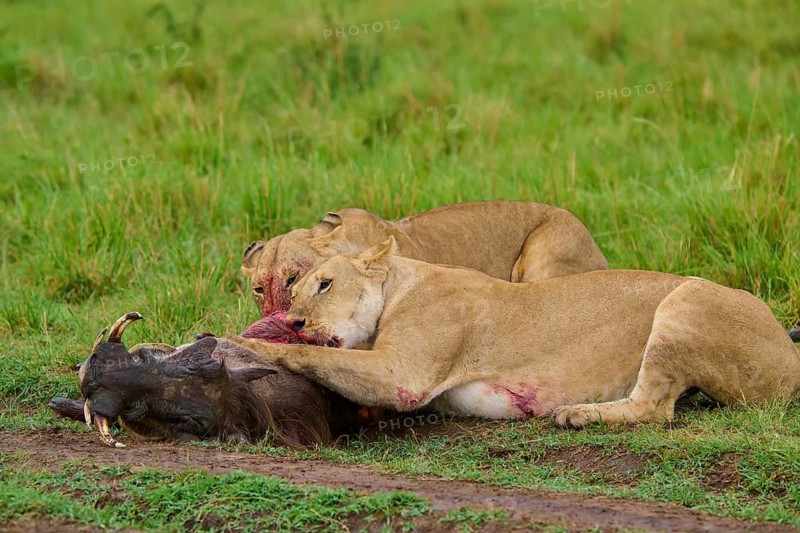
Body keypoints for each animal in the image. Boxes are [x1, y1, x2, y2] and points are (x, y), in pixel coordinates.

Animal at [233, 239, 800, 428]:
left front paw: (244, 343)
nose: (294, 322)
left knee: (654, 408)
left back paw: (578, 415)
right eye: (293, 289)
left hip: (685, 300)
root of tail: (789, 353)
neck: (401, 282)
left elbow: (318, 358)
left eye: (324, 283)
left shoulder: (403, 375)